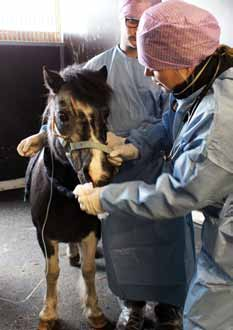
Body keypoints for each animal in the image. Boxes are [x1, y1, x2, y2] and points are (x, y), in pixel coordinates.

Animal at [27, 64, 115, 330]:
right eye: (63, 116)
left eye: (106, 113)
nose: (100, 175)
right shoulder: (44, 234)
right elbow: (51, 272)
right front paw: (48, 314)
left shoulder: (91, 230)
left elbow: (88, 270)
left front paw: (95, 312)